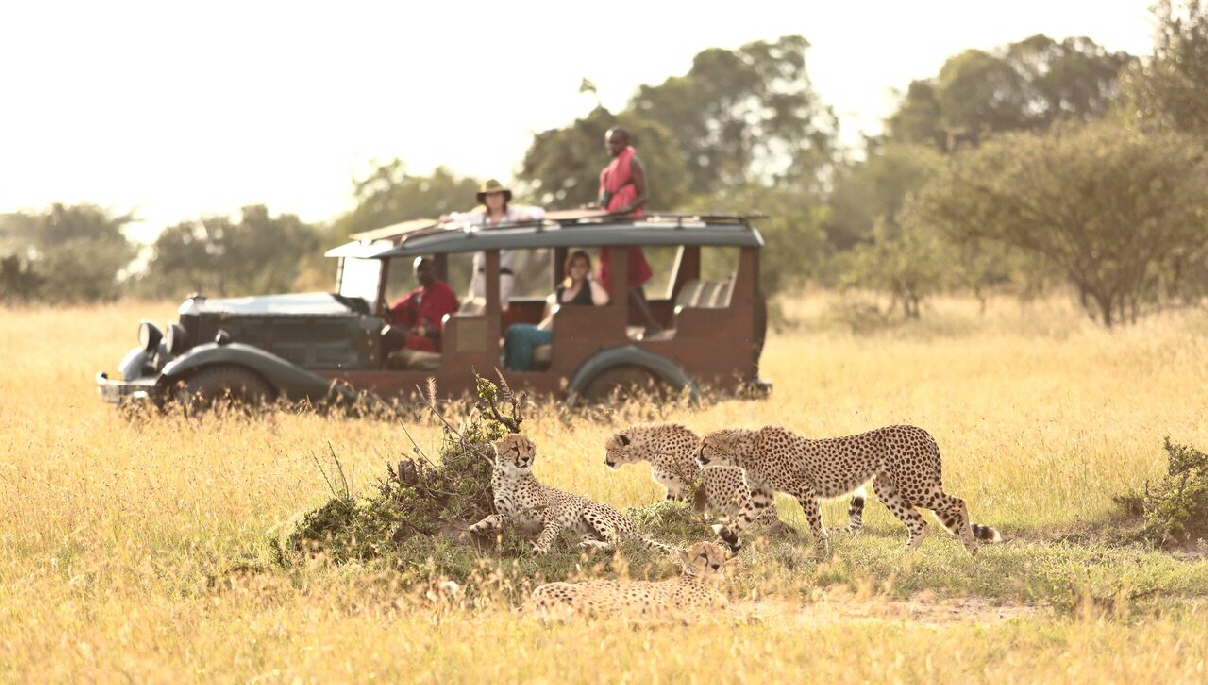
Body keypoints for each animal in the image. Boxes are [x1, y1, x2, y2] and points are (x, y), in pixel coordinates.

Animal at [468, 434, 676, 558]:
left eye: (529, 448)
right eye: (514, 448)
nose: (526, 459)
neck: (511, 477)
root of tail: (634, 527)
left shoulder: (551, 520)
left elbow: (546, 534)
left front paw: (541, 548)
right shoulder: (515, 517)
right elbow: (496, 515)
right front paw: (480, 525)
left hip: (590, 509)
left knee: (617, 541)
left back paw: (589, 546)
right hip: (585, 529)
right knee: (610, 540)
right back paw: (588, 545)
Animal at [604, 422, 869, 531]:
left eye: (608, 448)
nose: (605, 462)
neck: (651, 446)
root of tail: (778, 520)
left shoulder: (692, 482)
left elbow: (690, 507)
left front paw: (687, 521)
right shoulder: (674, 488)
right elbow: (667, 506)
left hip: (742, 491)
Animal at [695, 430, 1005, 558]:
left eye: (706, 444)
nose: (696, 455)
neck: (744, 451)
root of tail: (923, 431)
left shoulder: (804, 489)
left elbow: (816, 526)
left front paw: (821, 552)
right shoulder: (761, 497)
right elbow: (740, 521)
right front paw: (723, 540)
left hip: (914, 485)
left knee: (958, 503)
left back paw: (971, 546)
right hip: (886, 488)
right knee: (920, 523)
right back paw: (901, 556)